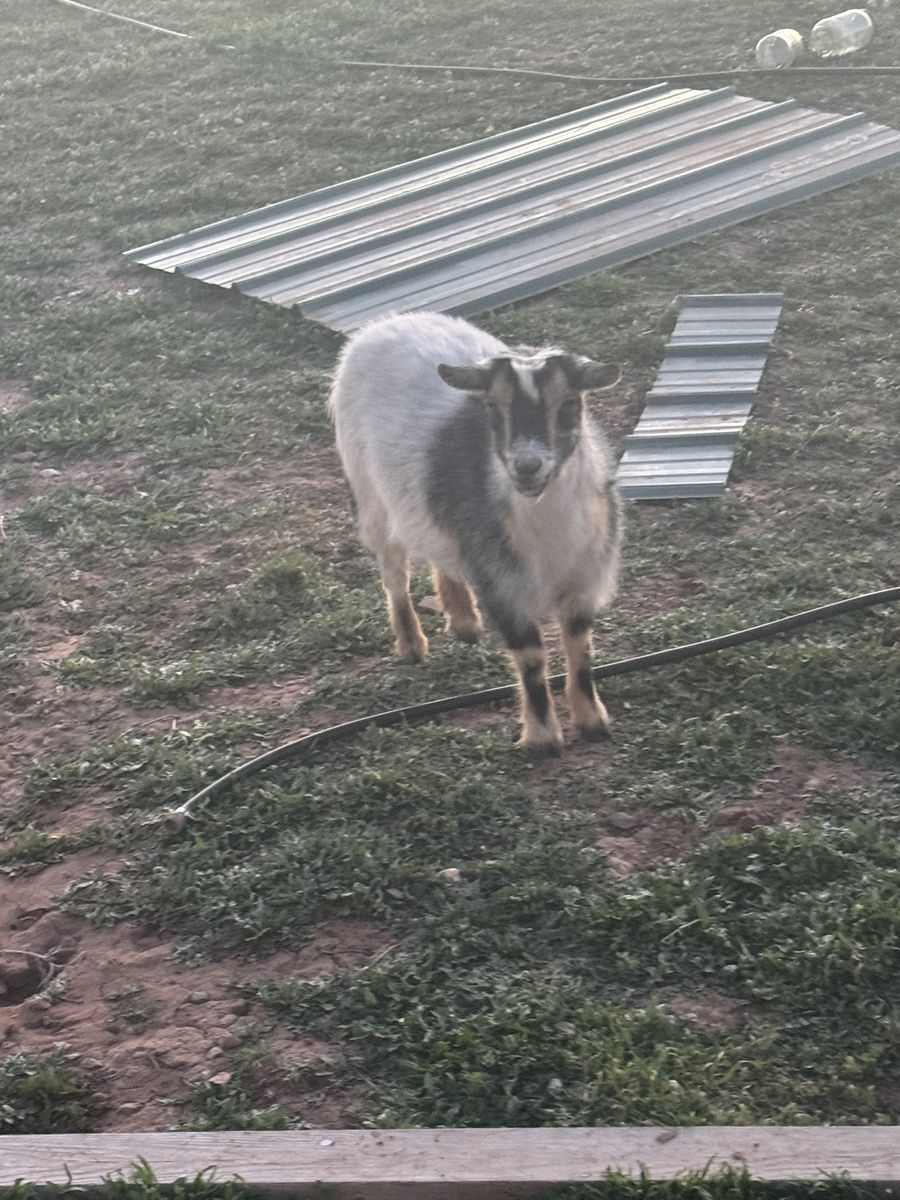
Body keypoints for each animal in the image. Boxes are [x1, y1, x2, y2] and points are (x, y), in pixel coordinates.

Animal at [328, 311, 622, 755]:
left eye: (570, 404)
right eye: (493, 408)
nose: (527, 467)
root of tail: (387, 322)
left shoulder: (584, 577)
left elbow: (579, 648)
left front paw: (592, 722)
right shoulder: (502, 583)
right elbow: (531, 657)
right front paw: (542, 739)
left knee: (440, 551)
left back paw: (464, 620)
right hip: (370, 497)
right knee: (394, 575)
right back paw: (411, 645)